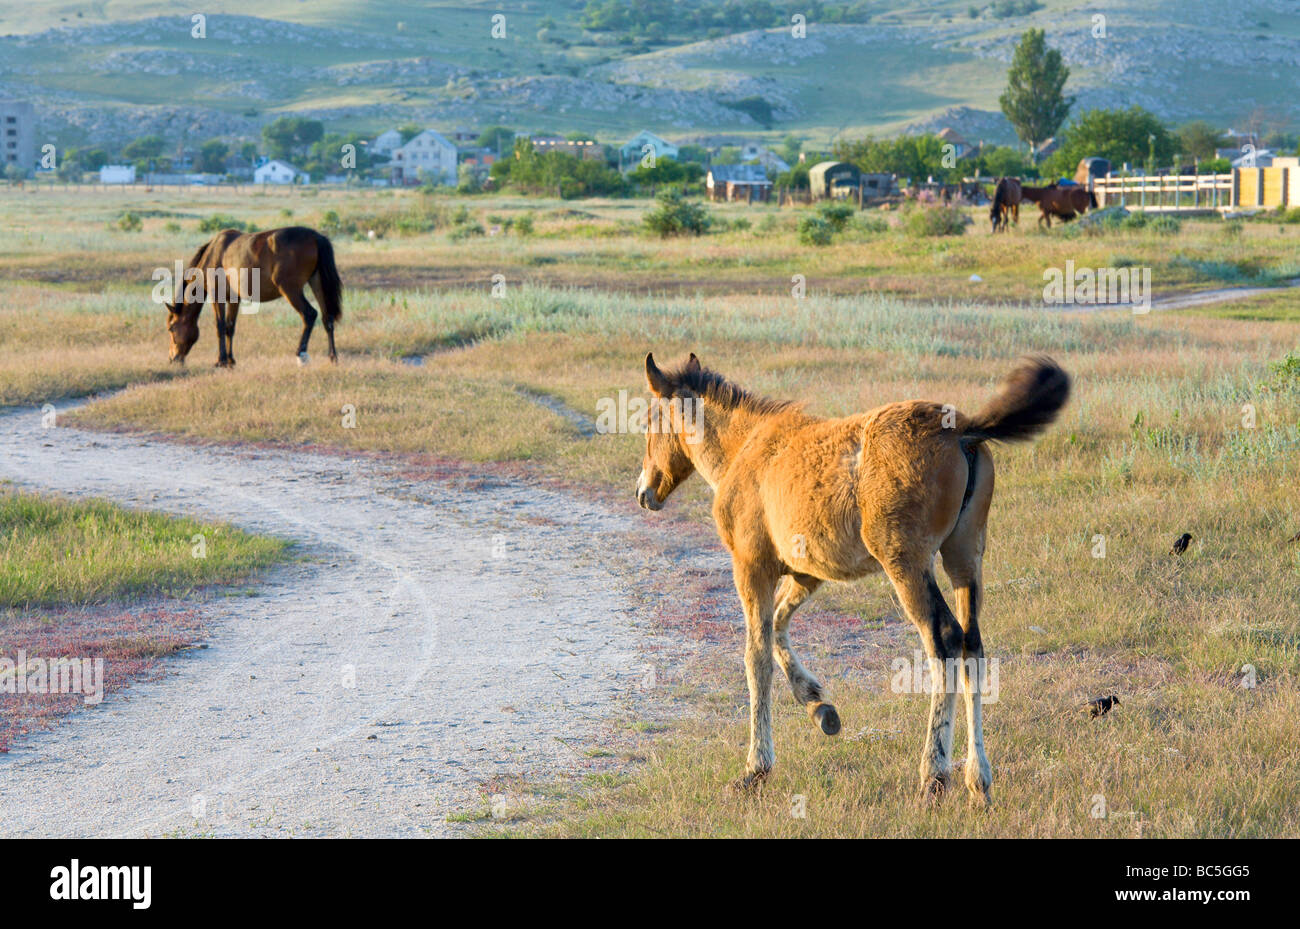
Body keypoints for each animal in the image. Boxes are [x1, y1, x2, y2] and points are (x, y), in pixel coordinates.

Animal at [165, 224, 343, 366]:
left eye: (171, 328)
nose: (173, 359)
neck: (215, 253)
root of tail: (315, 237)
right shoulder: (233, 299)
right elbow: (230, 327)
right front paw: (231, 360)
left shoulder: (217, 297)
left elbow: (220, 326)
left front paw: (221, 361)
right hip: (317, 283)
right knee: (327, 319)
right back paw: (333, 357)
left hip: (291, 290)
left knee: (309, 314)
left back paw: (301, 354)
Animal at [634, 353, 1071, 805]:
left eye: (650, 421)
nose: (644, 491)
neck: (746, 447)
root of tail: (962, 429)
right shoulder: (807, 572)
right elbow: (780, 627)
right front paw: (819, 707)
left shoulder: (752, 565)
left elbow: (756, 657)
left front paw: (755, 768)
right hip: (964, 557)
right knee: (973, 644)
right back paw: (978, 781)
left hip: (906, 563)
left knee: (945, 641)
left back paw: (933, 776)